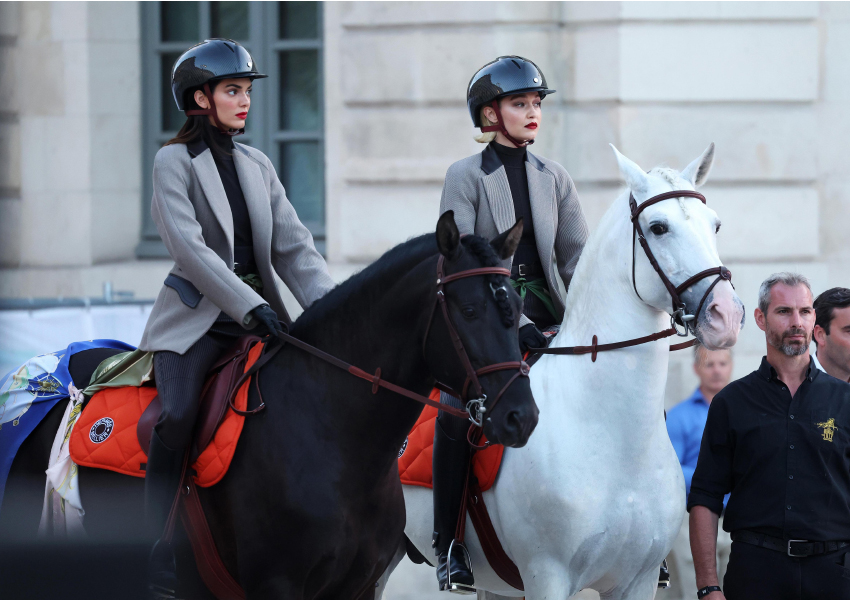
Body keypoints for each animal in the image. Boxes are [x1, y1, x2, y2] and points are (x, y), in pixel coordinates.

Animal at [0, 213, 536, 596]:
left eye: (515, 307)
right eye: (470, 311)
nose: (522, 417)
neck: (335, 435)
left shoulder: (359, 588)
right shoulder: (278, 587)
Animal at [378, 146, 744, 600]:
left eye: (715, 225)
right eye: (658, 227)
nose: (725, 315)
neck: (612, 434)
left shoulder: (637, 581)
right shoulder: (547, 576)